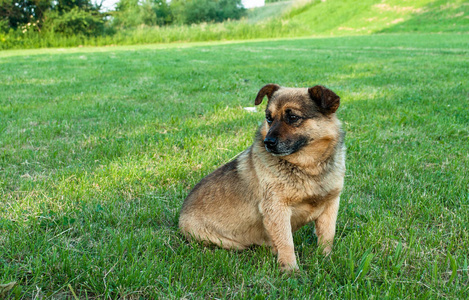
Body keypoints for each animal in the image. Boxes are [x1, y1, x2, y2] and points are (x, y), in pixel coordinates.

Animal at [178, 83, 344, 270]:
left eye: (293, 117)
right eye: (268, 118)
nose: (268, 142)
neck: (308, 167)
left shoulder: (331, 204)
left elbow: (327, 236)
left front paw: (327, 259)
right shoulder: (277, 209)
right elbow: (286, 242)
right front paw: (290, 270)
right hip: (227, 242)